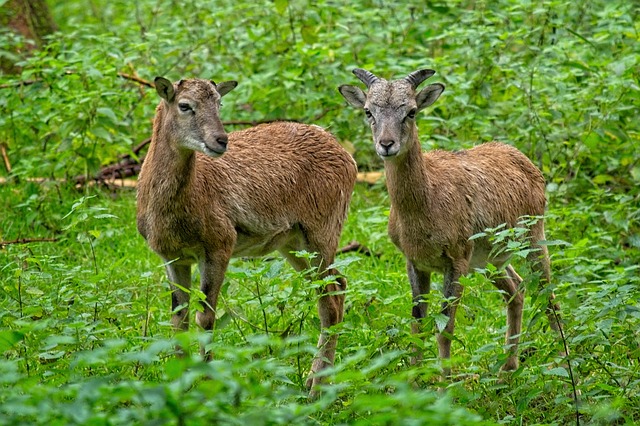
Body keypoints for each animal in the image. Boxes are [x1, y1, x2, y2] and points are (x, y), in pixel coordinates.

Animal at [137, 76, 358, 392]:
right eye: (184, 105)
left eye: (219, 103)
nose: (221, 140)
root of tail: (347, 157)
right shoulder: (172, 257)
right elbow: (179, 320)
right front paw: (181, 384)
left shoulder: (219, 245)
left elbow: (205, 317)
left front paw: (207, 383)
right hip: (293, 243)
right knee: (336, 286)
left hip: (323, 232)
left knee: (330, 298)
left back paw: (317, 387)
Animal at [338, 69, 564, 376]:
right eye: (368, 111)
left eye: (411, 111)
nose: (386, 144)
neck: (426, 207)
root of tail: (526, 162)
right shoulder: (415, 262)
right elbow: (418, 321)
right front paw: (415, 377)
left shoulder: (456, 259)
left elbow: (446, 324)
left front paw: (446, 379)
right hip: (490, 258)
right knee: (516, 290)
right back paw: (507, 369)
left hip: (533, 239)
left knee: (547, 294)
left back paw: (564, 359)